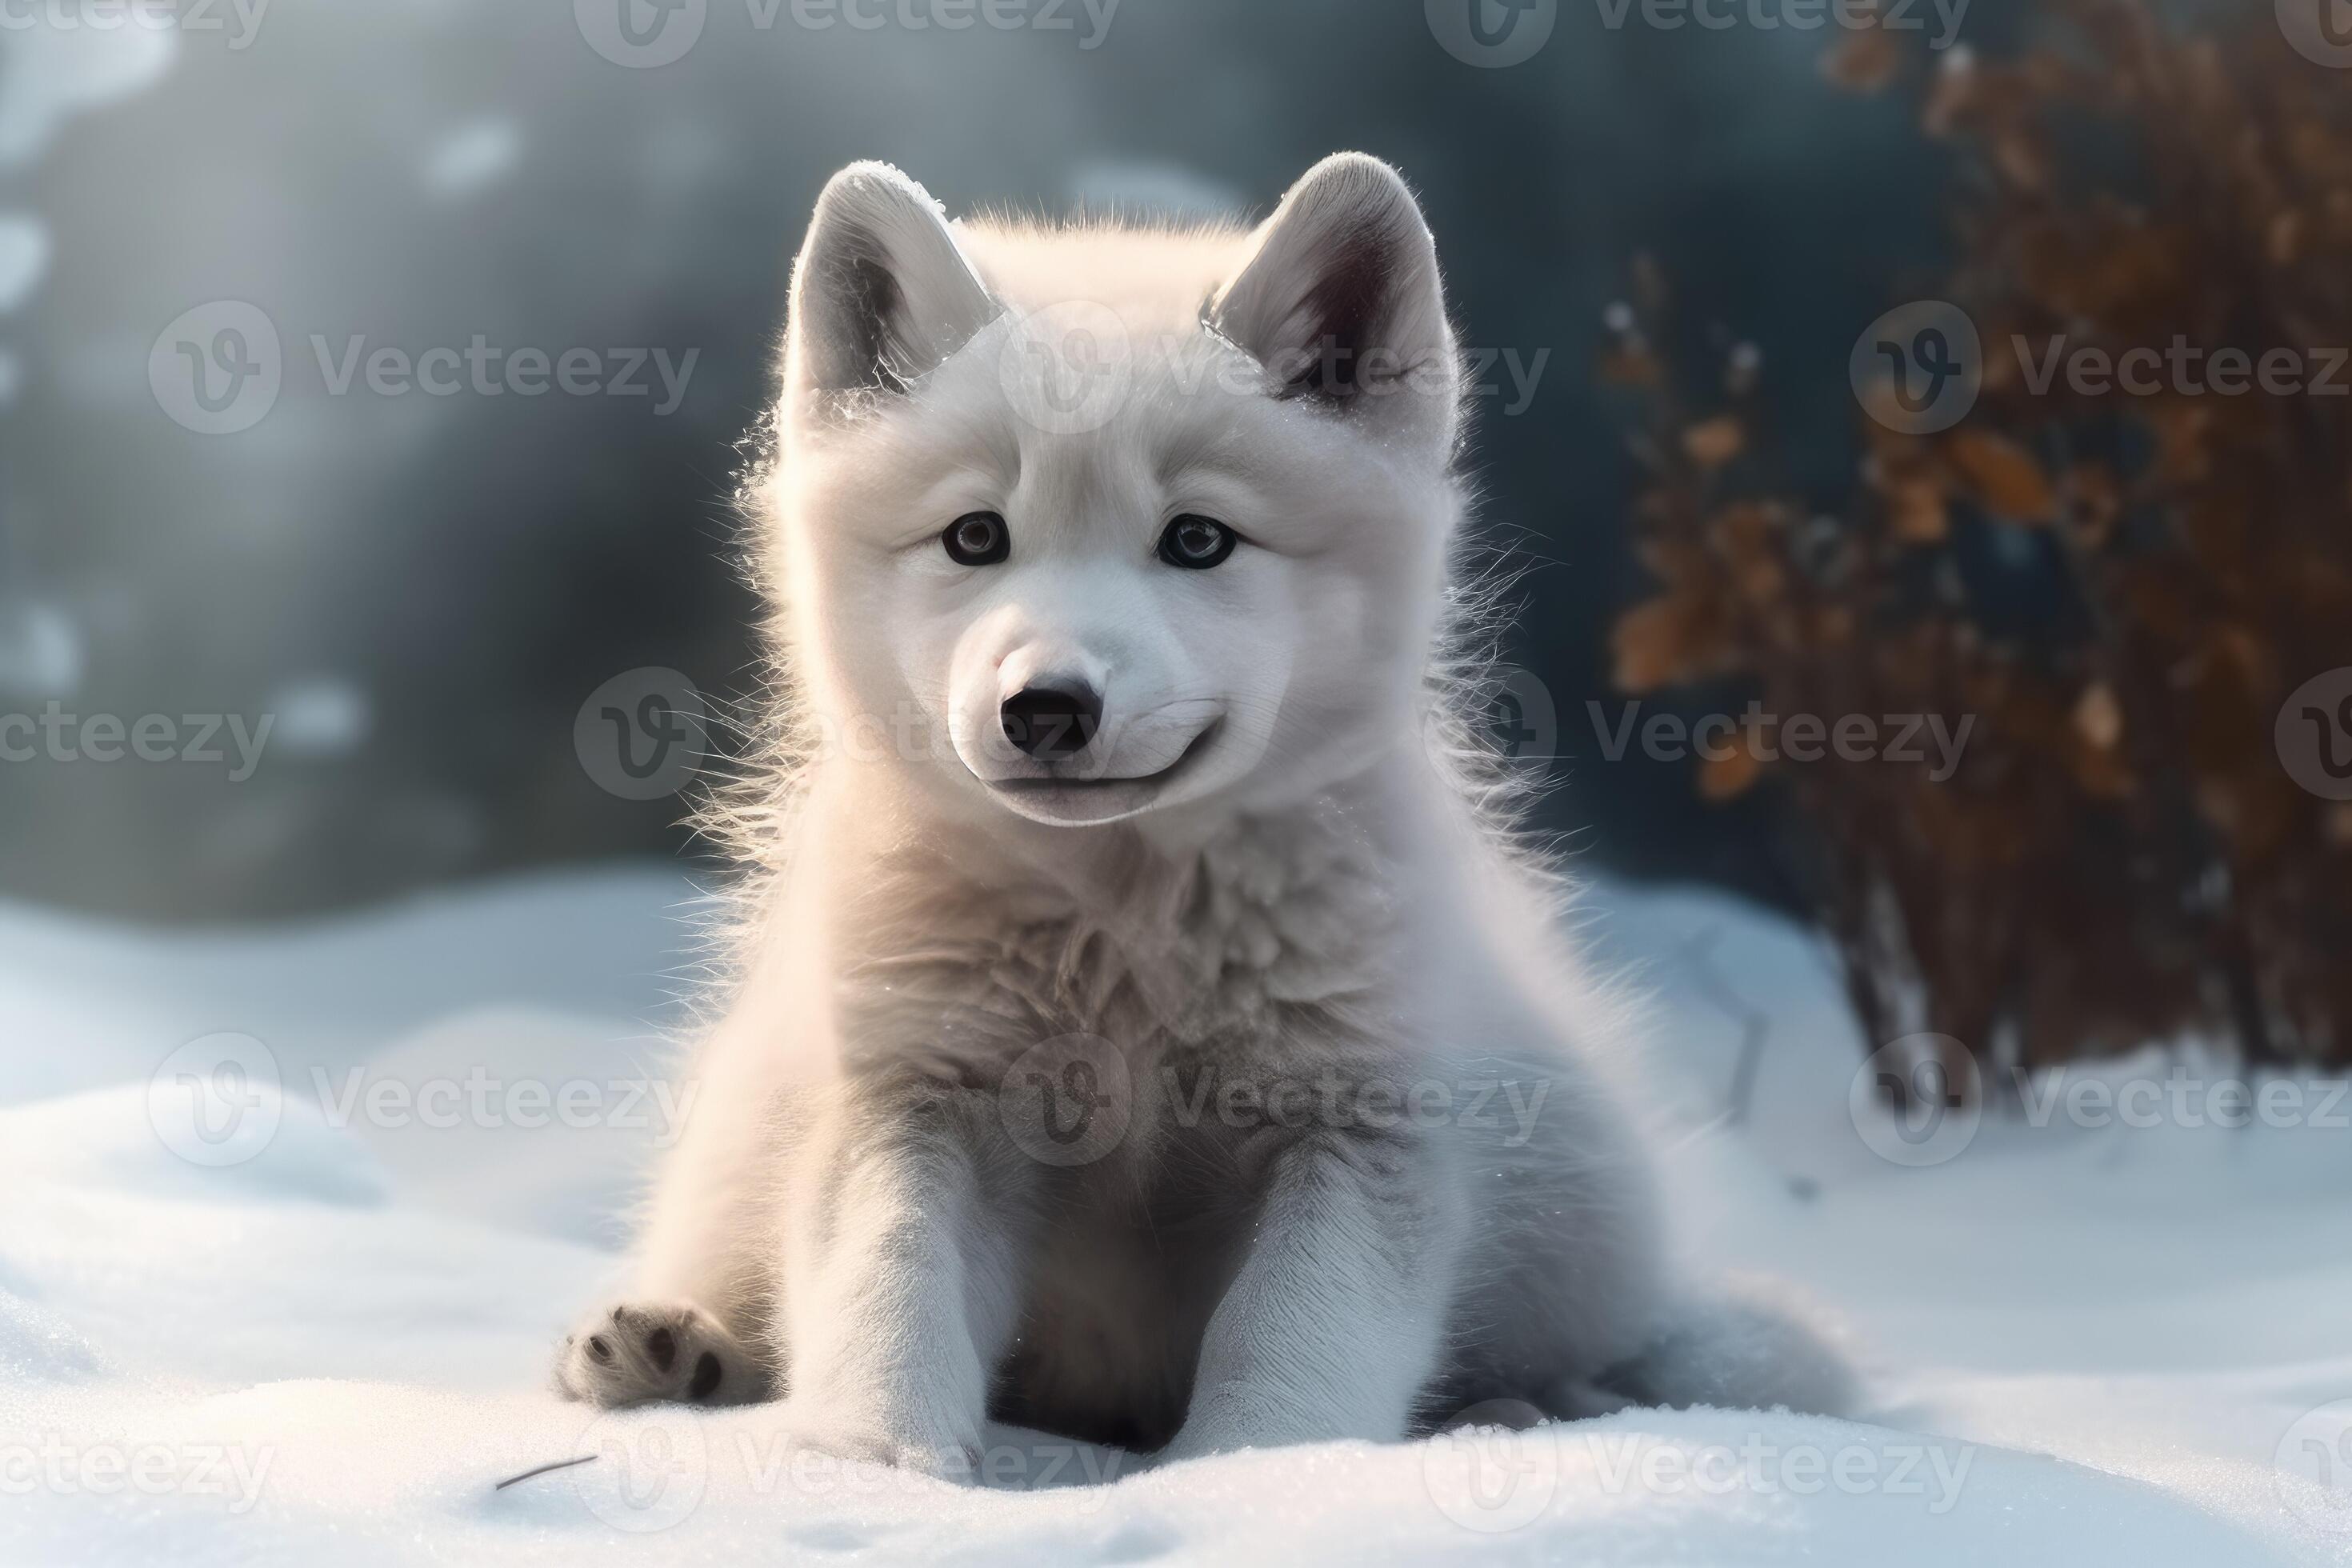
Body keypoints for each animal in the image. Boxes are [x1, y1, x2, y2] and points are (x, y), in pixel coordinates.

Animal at [552, 153, 1856, 1470]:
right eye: (975, 536)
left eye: (1196, 540)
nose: (1047, 708)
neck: (1123, 942)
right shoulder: (916, 1106)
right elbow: (889, 1301)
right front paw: (881, 1472)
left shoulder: (1354, 1137)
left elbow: (1291, 1350)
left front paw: (1259, 1479)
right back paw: (671, 1354)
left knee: (1600, 1360)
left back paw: (1514, 1412)